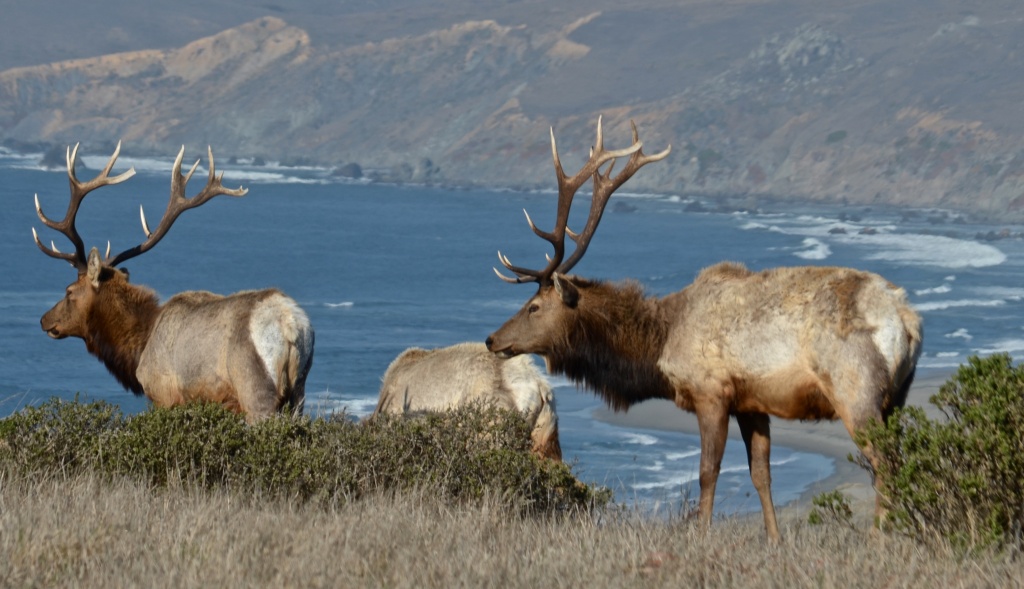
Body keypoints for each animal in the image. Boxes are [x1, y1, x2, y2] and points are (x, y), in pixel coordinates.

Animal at [33, 142, 314, 421]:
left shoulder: (163, 395)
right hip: (298, 393)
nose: (44, 319)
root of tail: (291, 327)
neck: (140, 346)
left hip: (256, 390)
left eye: (69, 291)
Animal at [484, 117, 923, 540]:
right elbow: (761, 475)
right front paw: (775, 541)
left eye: (534, 306)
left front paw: (701, 535)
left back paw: (881, 539)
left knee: (885, 464)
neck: (658, 348)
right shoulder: (752, 403)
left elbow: (707, 472)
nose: (492, 339)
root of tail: (907, 320)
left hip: (856, 391)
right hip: (897, 396)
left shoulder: (711, 392)